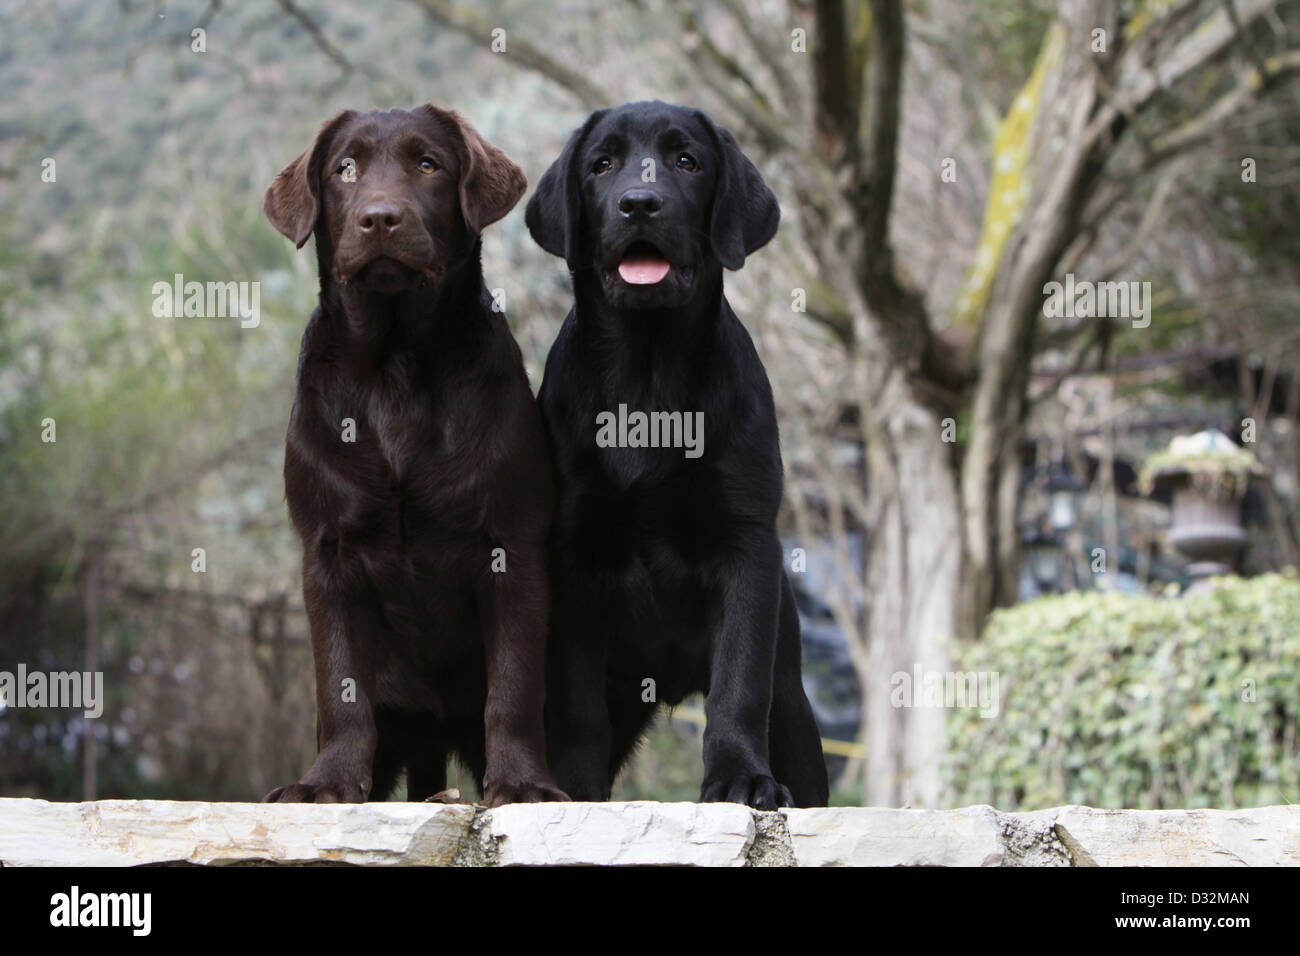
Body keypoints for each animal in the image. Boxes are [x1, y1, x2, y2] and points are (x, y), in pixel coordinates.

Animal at [262, 104, 564, 806]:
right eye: (344, 169)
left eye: (428, 164)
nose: (379, 218)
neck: (397, 364)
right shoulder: (327, 552)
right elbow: (342, 686)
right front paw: (325, 784)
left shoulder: (511, 544)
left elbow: (513, 686)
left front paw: (523, 784)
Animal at [522, 102, 826, 806]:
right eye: (602, 163)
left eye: (687, 161)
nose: (640, 203)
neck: (648, 375)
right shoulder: (572, 555)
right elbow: (575, 706)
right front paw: (573, 793)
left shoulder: (746, 543)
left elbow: (738, 684)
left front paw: (740, 778)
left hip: (793, 702)